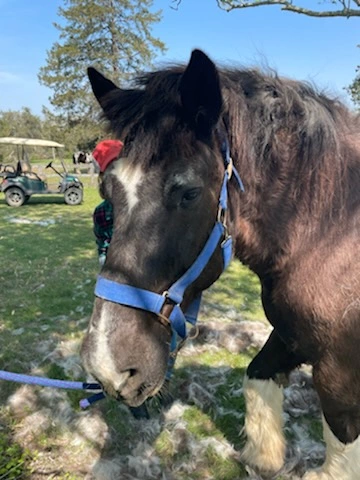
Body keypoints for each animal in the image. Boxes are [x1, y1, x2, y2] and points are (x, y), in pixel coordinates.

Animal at [81, 49, 360, 480]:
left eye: (189, 193)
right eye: (106, 189)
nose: (107, 367)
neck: (331, 235)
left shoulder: (339, 369)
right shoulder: (292, 334)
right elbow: (256, 376)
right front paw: (262, 458)